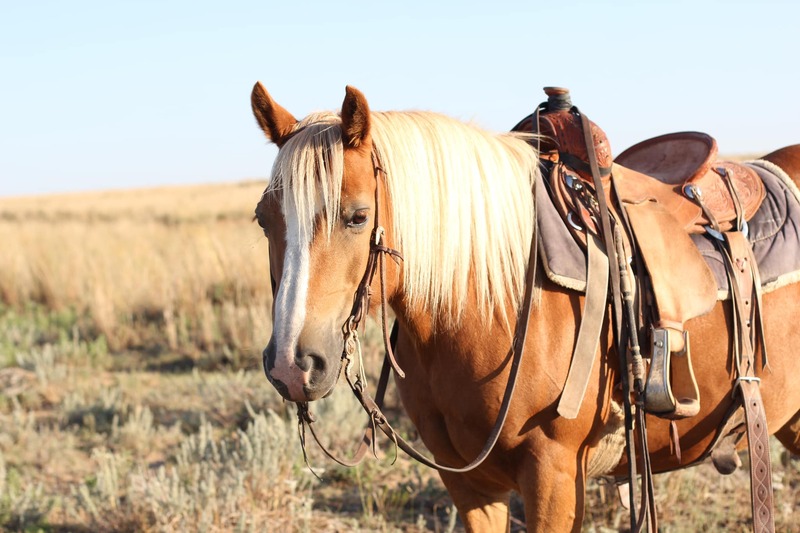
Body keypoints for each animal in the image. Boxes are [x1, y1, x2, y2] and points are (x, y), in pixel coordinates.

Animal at [250, 81, 800, 528]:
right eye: (262, 219)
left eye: (358, 216)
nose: (292, 366)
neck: (490, 304)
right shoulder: (468, 484)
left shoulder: (554, 477)